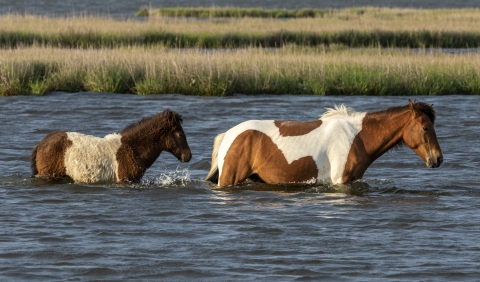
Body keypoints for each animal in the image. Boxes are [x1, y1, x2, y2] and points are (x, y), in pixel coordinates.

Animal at [205, 101, 442, 187]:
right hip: (229, 179)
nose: (438, 159)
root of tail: (228, 135)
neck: (357, 137)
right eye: (425, 128)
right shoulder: (340, 181)